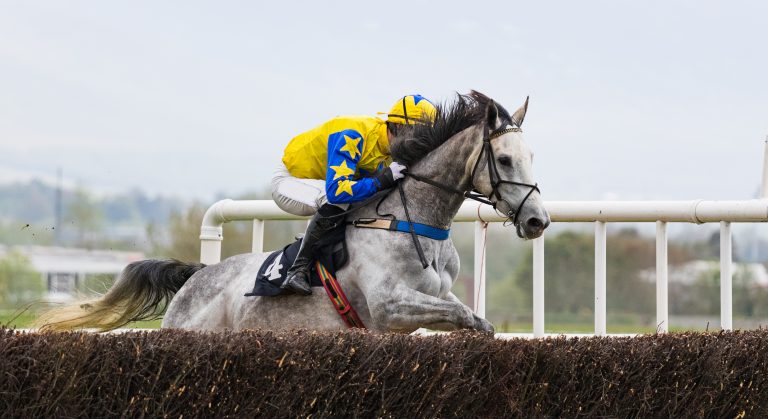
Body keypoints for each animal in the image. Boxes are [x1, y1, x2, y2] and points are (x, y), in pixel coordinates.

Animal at [36, 91, 550, 333]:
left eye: (532, 156)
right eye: (505, 160)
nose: (537, 221)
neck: (412, 221)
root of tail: (196, 275)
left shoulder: (432, 299)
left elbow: (467, 315)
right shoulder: (388, 306)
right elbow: (464, 315)